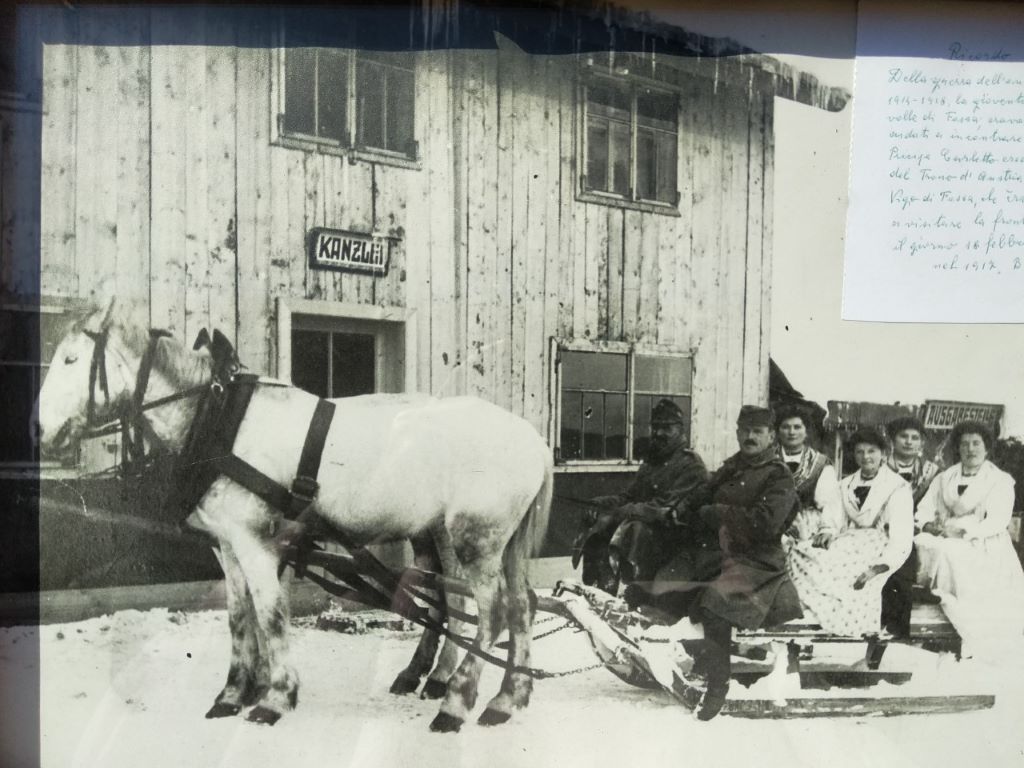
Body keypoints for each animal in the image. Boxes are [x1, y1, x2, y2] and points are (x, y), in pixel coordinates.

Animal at [34, 298, 554, 732]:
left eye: (71, 360)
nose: (40, 429)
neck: (219, 420)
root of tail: (534, 440)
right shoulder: (228, 544)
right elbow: (240, 616)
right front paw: (234, 693)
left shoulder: (255, 541)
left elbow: (271, 615)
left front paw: (275, 697)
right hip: (483, 540)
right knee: (518, 605)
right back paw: (505, 698)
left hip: (476, 538)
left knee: (492, 610)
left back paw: (457, 702)